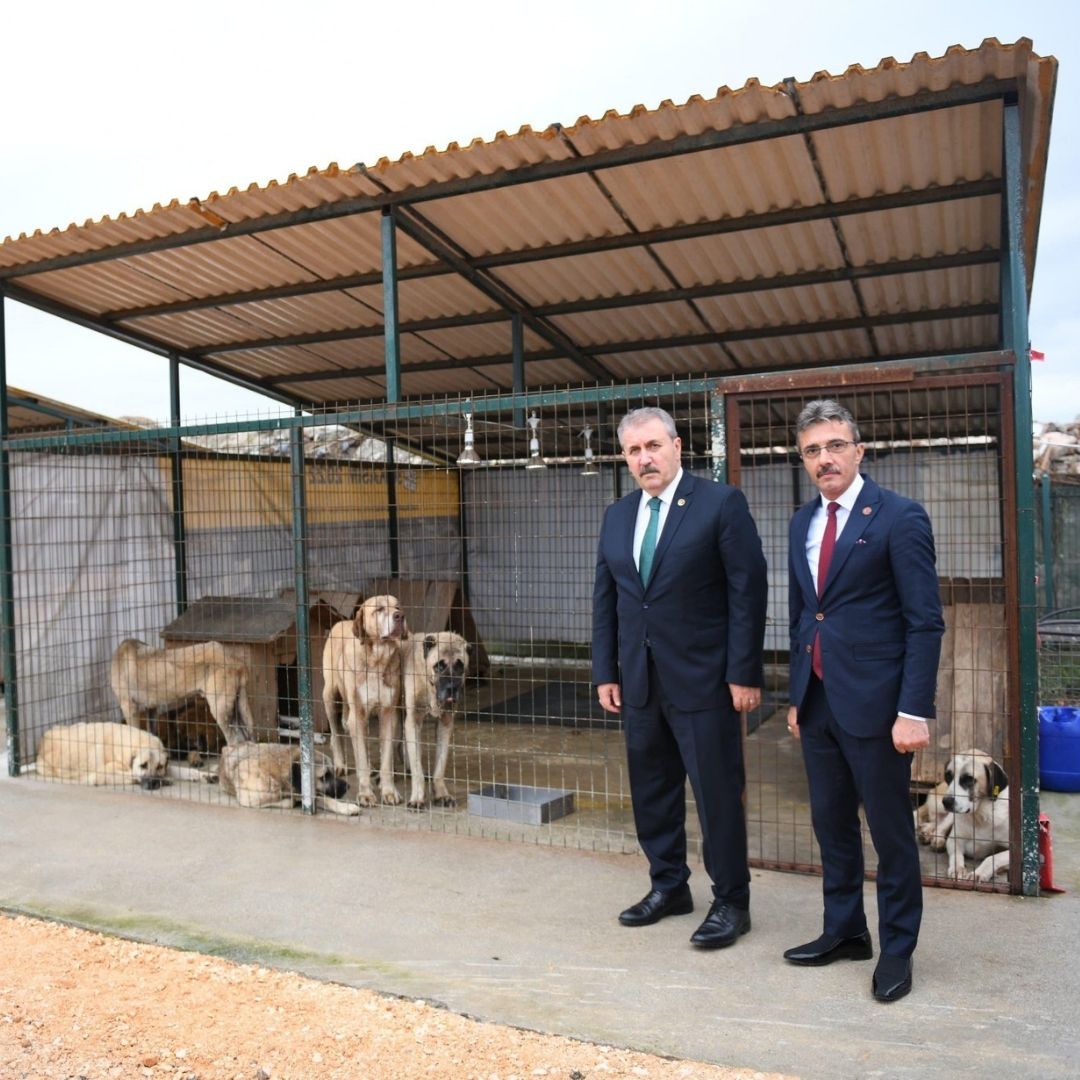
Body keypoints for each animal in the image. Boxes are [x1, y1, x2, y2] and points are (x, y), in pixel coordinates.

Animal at [37, 721, 168, 790]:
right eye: (143, 765)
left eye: (159, 767)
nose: (153, 784)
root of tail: (43, 740)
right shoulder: (101, 775)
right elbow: (131, 775)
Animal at [109, 635, 254, 747]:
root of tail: (236, 660)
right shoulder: (151, 708)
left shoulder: (129, 706)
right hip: (237, 709)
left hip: (220, 709)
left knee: (234, 740)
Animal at [321, 596, 406, 807]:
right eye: (379, 609)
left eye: (398, 606)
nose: (400, 616)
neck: (377, 661)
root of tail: (341, 622)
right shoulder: (357, 714)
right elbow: (359, 756)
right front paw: (366, 794)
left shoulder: (388, 714)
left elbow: (386, 759)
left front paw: (389, 791)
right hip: (330, 696)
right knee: (336, 732)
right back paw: (341, 764)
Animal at [403, 630, 470, 807]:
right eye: (439, 666)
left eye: (459, 666)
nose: (452, 689)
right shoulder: (413, 721)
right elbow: (417, 768)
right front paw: (418, 797)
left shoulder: (445, 723)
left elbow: (440, 764)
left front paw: (441, 794)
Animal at [915, 747, 1006, 881]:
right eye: (948, 776)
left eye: (969, 779)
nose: (946, 802)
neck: (980, 816)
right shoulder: (954, 840)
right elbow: (956, 856)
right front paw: (957, 869)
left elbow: (994, 857)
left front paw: (980, 873)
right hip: (950, 814)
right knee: (941, 824)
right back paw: (935, 838)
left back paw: (926, 831)